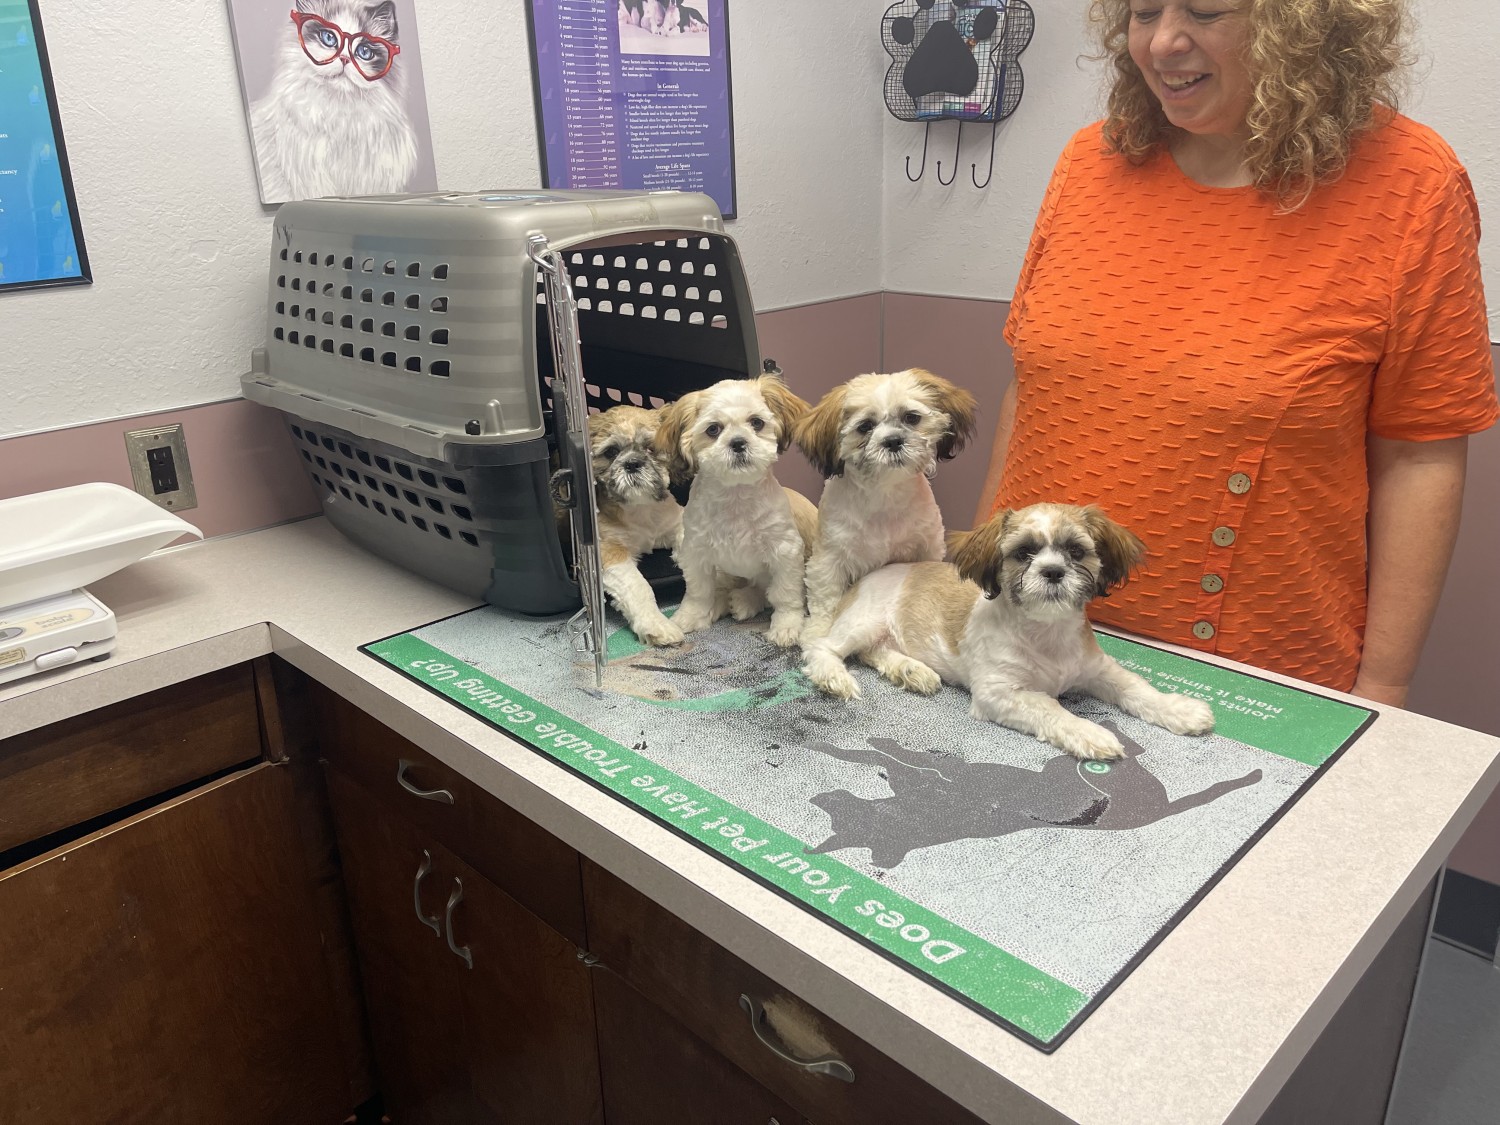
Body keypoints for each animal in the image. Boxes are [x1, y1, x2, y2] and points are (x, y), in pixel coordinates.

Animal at [585, 408, 687, 651]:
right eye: (611, 452)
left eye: (651, 448)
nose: (632, 463)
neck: (641, 509)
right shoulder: (609, 551)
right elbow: (638, 586)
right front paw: (657, 624)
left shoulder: (676, 523)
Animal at [792, 366, 978, 639]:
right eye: (865, 426)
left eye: (911, 418)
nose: (892, 440)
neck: (884, 494)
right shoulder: (829, 560)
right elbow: (826, 601)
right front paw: (819, 632)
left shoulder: (927, 548)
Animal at [804, 504, 1212, 762]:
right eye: (1023, 553)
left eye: (1076, 551)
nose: (1052, 571)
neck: (1047, 634)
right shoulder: (999, 693)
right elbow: (1051, 707)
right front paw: (1089, 732)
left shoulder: (1098, 670)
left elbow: (1137, 688)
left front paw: (1179, 709)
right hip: (864, 621)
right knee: (823, 648)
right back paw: (834, 676)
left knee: (874, 652)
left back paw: (911, 670)